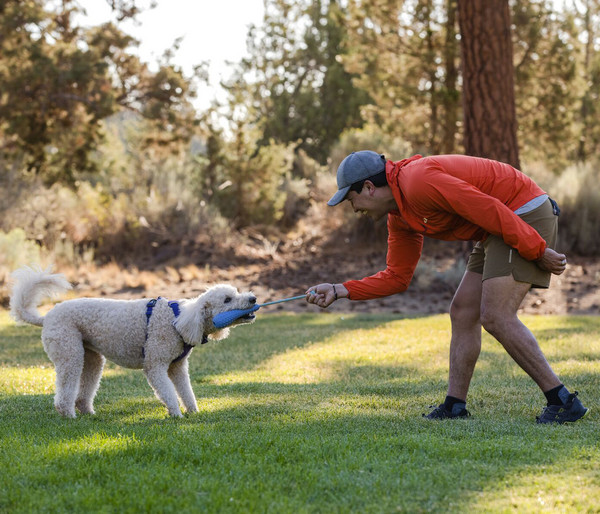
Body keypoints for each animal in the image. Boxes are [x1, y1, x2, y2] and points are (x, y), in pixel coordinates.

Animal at [9, 266, 255, 418]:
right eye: (227, 299)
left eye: (236, 292)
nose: (253, 298)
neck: (178, 319)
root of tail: (46, 317)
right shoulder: (155, 365)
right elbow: (168, 393)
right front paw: (176, 414)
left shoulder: (177, 367)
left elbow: (186, 391)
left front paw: (193, 412)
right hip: (69, 353)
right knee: (65, 390)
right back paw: (68, 415)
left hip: (92, 359)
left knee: (84, 390)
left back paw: (89, 414)